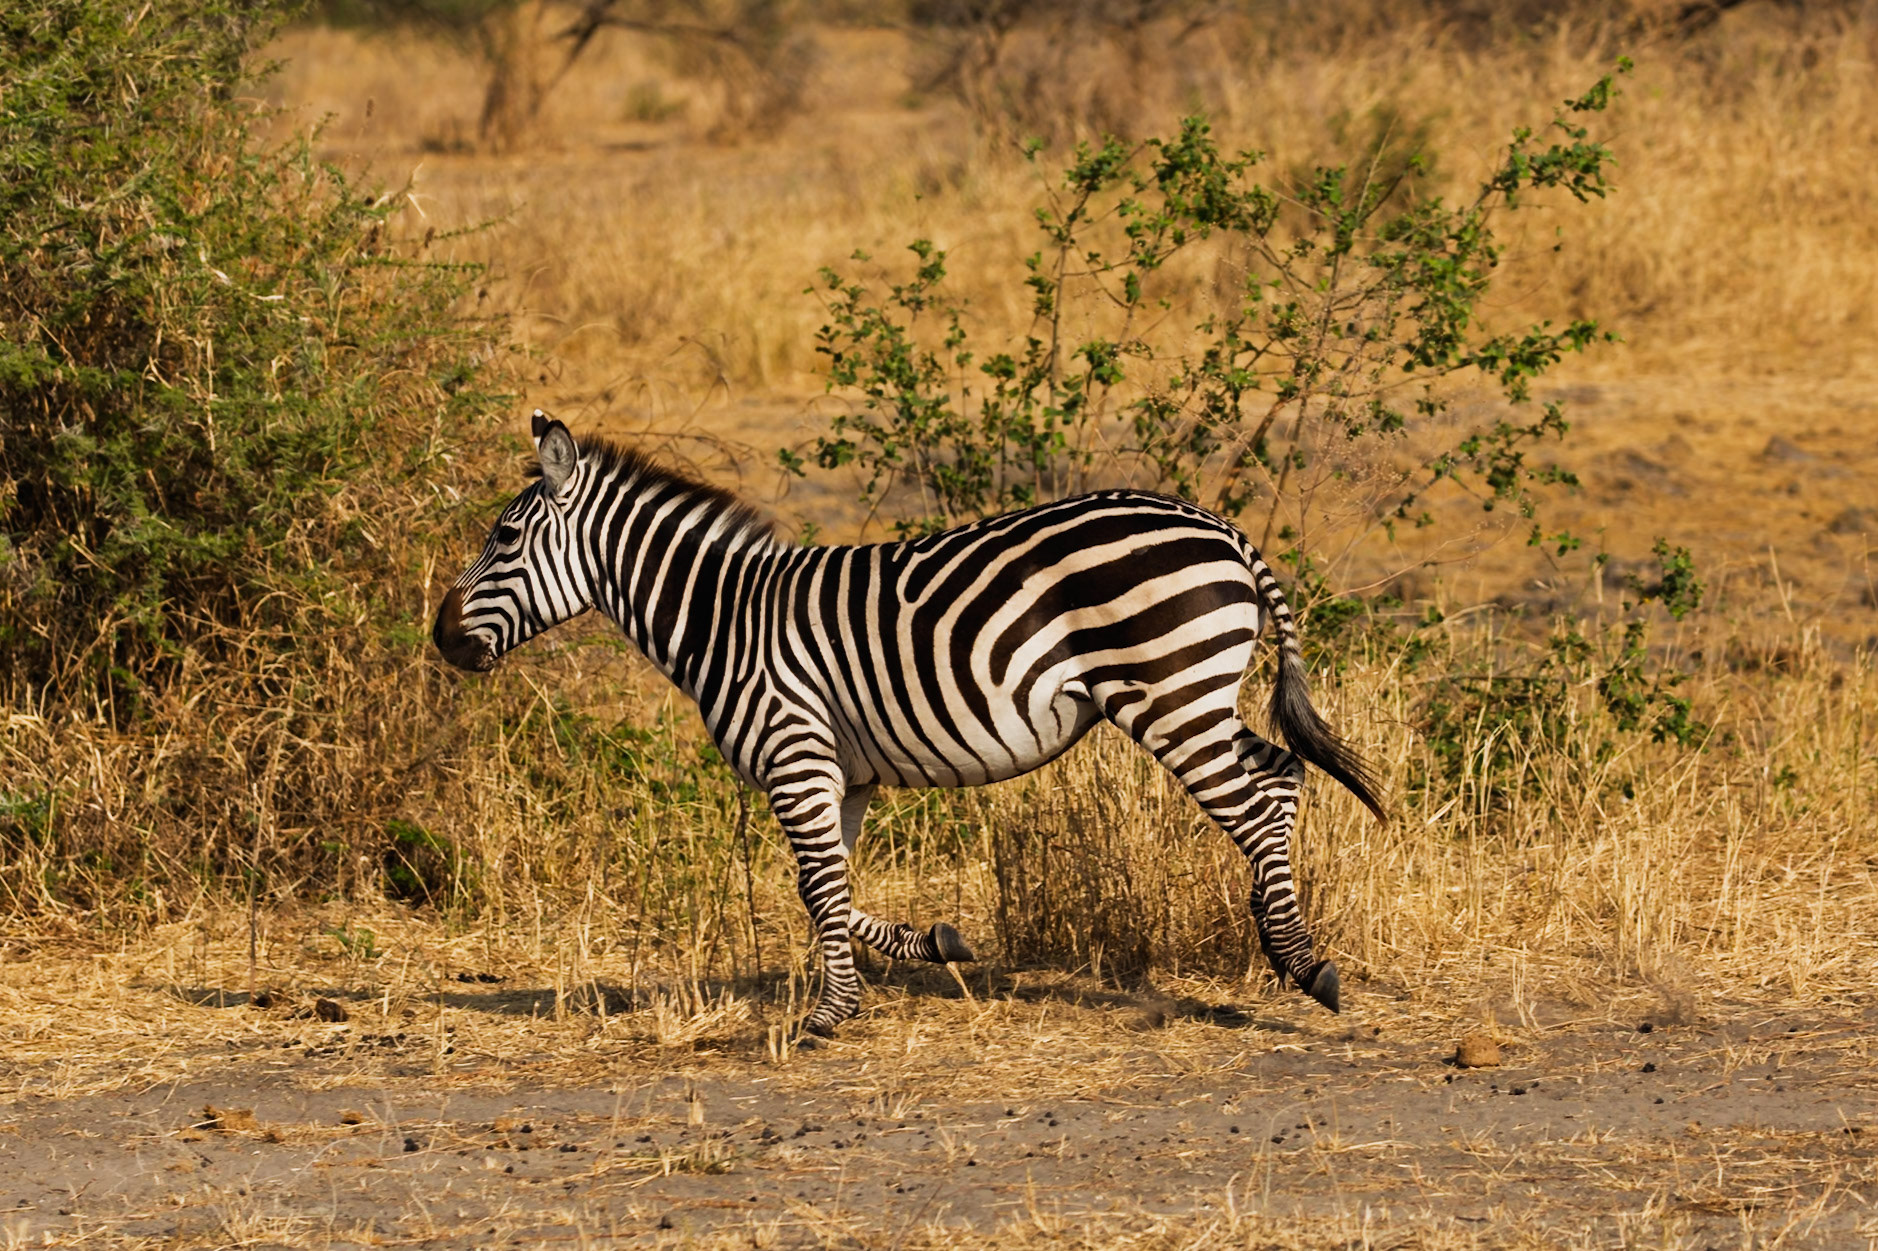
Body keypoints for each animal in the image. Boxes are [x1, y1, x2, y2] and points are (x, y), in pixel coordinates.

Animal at [434, 413, 1387, 1037]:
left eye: (504, 539)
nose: (440, 637)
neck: (722, 616)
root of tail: (1222, 527)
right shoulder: (839, 770)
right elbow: (825, 888)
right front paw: (934, 942)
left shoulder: (794, 752)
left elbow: (821, 887)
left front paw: (829, 1015)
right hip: (1197, 695)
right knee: (1283, 776)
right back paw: (1283, 949)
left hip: (1172, 694)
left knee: (1257, 806)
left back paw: (1308, 967)